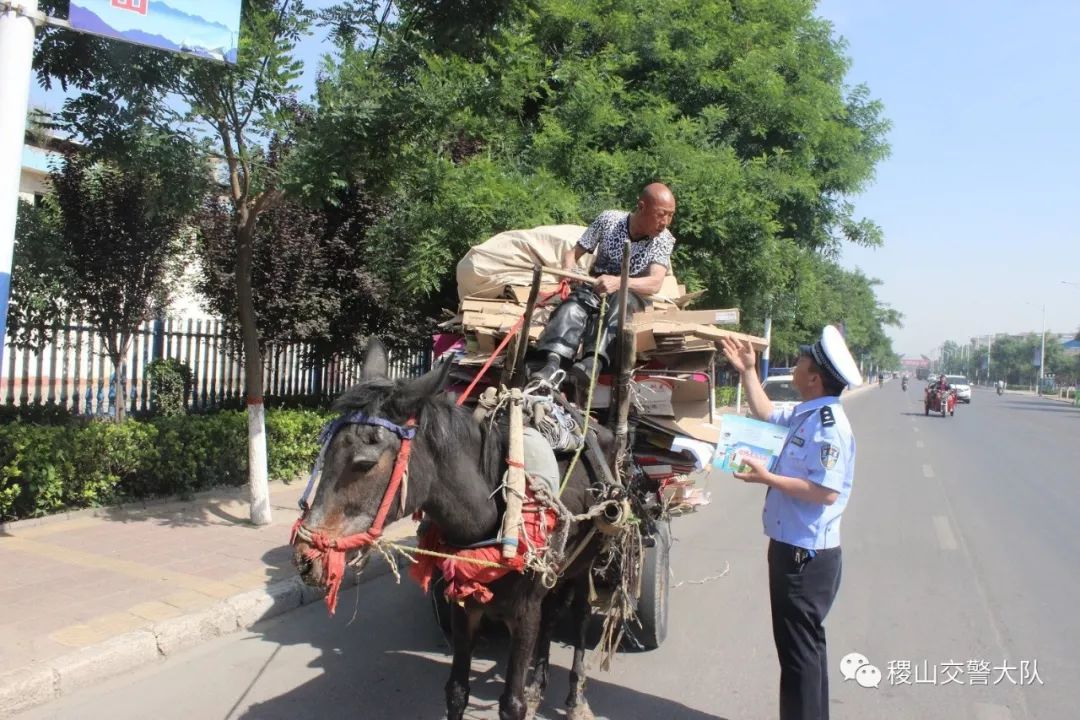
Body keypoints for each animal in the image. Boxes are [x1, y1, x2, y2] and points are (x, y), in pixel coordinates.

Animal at [293, 343, 617, 720]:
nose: (304, 559)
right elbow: (457, 691)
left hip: (585, 564)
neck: (495, 509)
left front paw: (533, 696)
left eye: (365, 463)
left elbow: (512, 704)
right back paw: (539, 685)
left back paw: (575, 697)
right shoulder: (463, 606)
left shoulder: (524, 614)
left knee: (578, 618)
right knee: (551, 616)